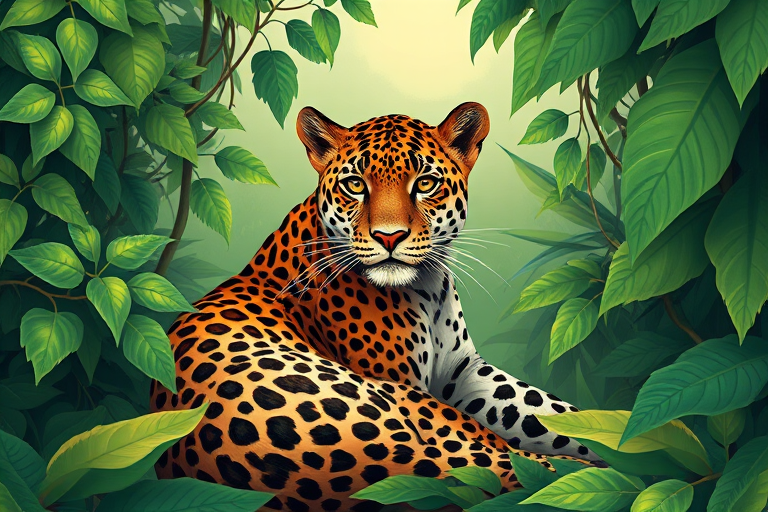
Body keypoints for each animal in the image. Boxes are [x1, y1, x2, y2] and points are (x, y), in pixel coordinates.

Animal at [151, 103, 601, 512]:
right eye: (354, 184)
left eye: (425, 182)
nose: (389, 237)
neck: (428, 287)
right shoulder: (404, 382)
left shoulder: (462, 373)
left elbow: (547, 411)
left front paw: (609, 431)